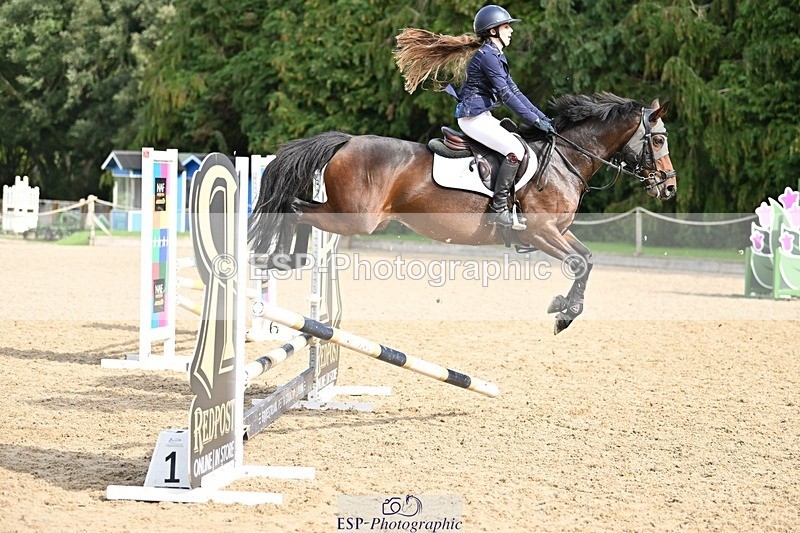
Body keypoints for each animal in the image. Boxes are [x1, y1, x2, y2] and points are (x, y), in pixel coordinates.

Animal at [249, 92, 677, 334]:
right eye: (657, 140)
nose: (670, 187)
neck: (564, 161)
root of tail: (347, 141)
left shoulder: (557, 231)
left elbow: (586, 259)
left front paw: (564, 309)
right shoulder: (540, 232)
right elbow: (579, 262)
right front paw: (565, 314)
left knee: (299, 210)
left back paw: (289, 258)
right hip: (355, 218)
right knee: (295, 208)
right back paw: (282, 256)